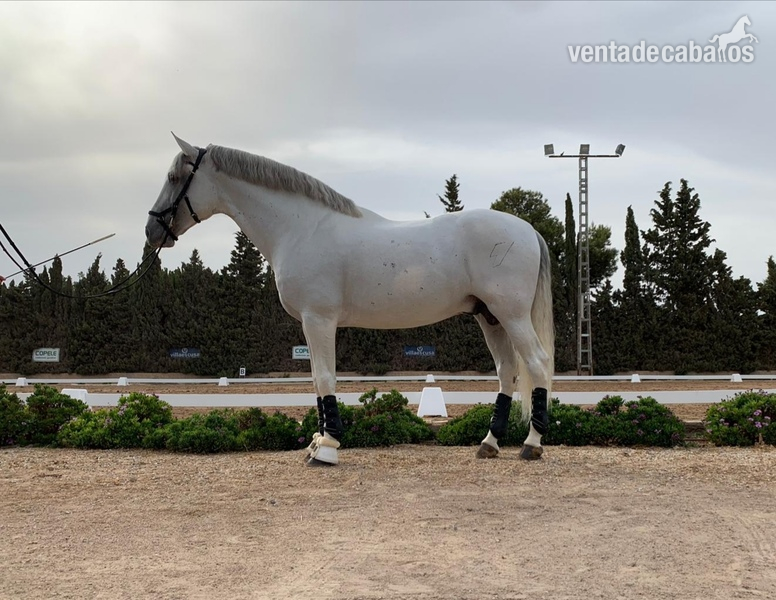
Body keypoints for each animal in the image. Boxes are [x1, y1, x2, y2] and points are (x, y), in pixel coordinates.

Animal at [145, 133, 555, 466]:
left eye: (175, 177)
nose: (152, 231)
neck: (301, 228)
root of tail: (527, 229)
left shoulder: (319, 319)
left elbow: (326, 378)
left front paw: (326, 448)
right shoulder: (309, 324)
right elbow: (315, 380)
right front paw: (316, 442)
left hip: (512, 315)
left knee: (537, 364)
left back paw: (532, 445)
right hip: (489, 317)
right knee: (506, 371)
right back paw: (489, 444)